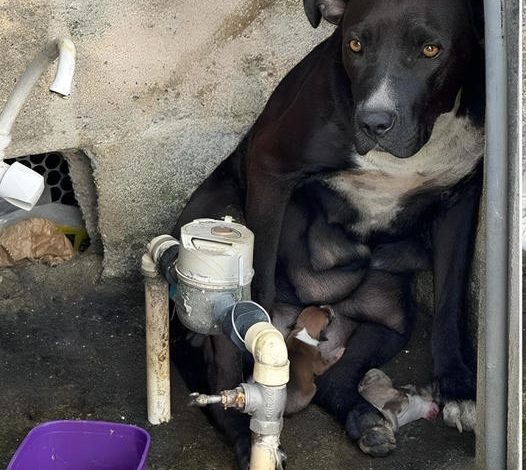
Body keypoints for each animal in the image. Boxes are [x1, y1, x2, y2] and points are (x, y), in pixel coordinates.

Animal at [172, 0, 482, 466]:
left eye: (431, 49)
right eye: (354, 44)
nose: (373, 122)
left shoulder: (460, 199)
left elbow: (449, 302)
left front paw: (458, 386)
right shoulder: (270, 166)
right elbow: (260, 287)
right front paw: (258, 379)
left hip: (389, 314)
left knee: (335, 380)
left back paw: (365, 419)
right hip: (218, 235)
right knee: (219, 379)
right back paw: (247, 435)